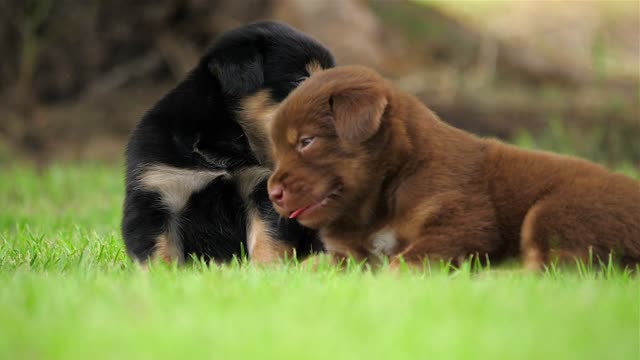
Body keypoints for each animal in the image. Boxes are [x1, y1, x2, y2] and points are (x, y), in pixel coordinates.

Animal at [123, 22, 338, 264]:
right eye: (299, 82)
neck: (222, 140)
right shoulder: (156, 191)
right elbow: (159, 251)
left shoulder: (261, 190)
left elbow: (267, 238)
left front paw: (266, 269)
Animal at [266, 65, 640, 270]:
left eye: (307, 141)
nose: (272, 193)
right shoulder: (347, 255)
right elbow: (312, 265)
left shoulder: (462, 223)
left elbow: (406, 260)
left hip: (558, 211)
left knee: (556, 268)